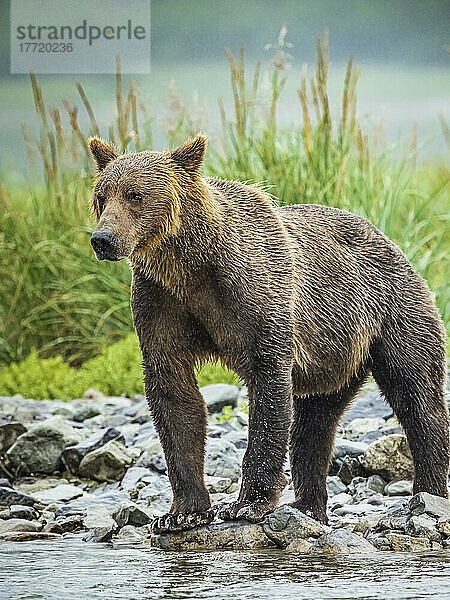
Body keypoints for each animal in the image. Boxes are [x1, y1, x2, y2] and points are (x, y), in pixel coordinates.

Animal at [87, 134, 446, 532]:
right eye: (101, 196)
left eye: (135, 195)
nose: (102, 238)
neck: (188, 265)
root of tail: (393, 243)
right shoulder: (161, 301)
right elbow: (174, 394)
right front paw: (182, 512)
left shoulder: (256, 296)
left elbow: (268, 385)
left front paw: (247, 504)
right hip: (332, 355)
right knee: (315, 423)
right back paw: (308, 505)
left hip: (393, 311)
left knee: (416, 394)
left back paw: (427, 495)